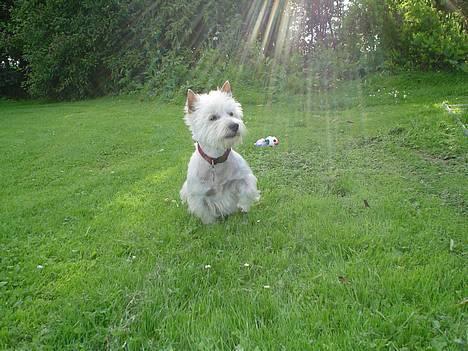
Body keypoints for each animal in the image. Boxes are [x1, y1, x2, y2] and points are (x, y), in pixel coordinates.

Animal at [179, 81, 260, 224]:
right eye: (212, 118)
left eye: (231, 113)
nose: (235, 125)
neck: (215, 160)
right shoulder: (198, 195)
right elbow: (205, 212)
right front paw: (212, 224)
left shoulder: (244, 177)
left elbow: (248, 191)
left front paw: (243, 207)